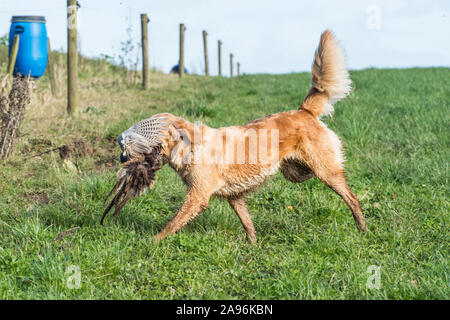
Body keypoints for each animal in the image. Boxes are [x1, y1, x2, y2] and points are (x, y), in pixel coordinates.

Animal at [103, 30, 368, 242]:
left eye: (131, 146)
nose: (121, 159)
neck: (189, 145)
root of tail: (305, 111)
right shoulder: (235, 196)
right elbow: (247, 223)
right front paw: (253, 245)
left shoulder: (198, 196)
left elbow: (173, 223)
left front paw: (153, 242)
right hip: (296, 172)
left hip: (325, 171)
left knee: (352, 197)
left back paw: (363, 229)